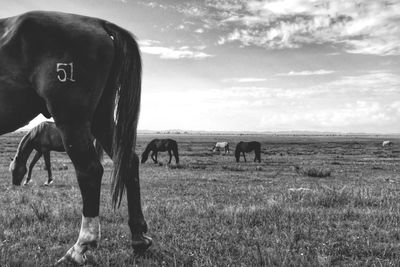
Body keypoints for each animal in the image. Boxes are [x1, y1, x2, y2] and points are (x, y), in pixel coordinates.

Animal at [2, 11, 152, 266]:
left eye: (14, 171)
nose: (14, 186)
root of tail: (100, 24)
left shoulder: (44, 149)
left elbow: (39, 164)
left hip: (72, 120)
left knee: (90, 171)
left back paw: (80, 247)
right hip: (101, 119)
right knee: (128, 161)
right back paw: (138, 238)